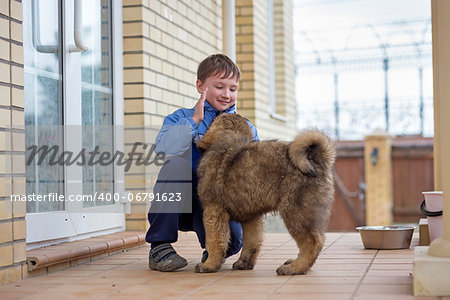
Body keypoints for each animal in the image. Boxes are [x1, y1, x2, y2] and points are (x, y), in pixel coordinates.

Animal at [195, 113, 336, 276]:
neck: (230, 139)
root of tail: (317, 159)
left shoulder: (213, 211)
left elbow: (213, 241)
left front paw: (209, 265)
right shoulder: (251, 216)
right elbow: (251, 241)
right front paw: (244, 263)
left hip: (296, 212)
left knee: (312, 242)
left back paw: (294, 268)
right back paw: (294, 263)